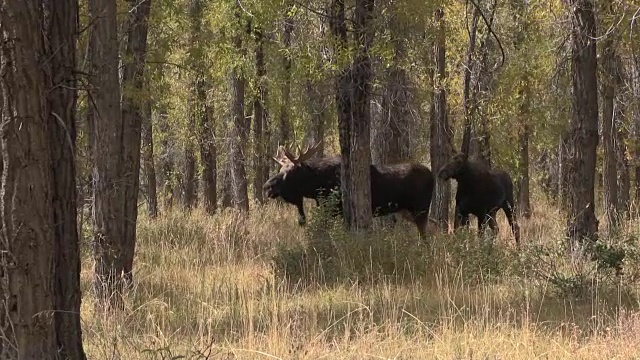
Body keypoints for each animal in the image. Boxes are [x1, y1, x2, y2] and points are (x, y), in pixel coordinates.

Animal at [262, 141, 436, 239]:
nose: (267, 186)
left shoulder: (336, 209)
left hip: (421, 209)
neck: (317, 186)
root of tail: (432, 175)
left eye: (291, 171)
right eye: (280, 168)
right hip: (408, 212)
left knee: (425, 235)